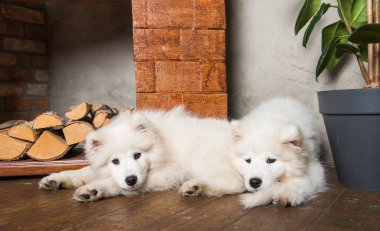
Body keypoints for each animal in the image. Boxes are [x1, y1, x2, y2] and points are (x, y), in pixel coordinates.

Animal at [39, 106, 246, 202]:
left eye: (137, 155)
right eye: (115, 161)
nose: (131, 179)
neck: (161, 144)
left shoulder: (167, 173)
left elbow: (115, 183)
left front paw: (92, 189)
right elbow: (82, 172)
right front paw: (54, 180)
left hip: (198, 154)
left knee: (236, 183)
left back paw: (196, 186)